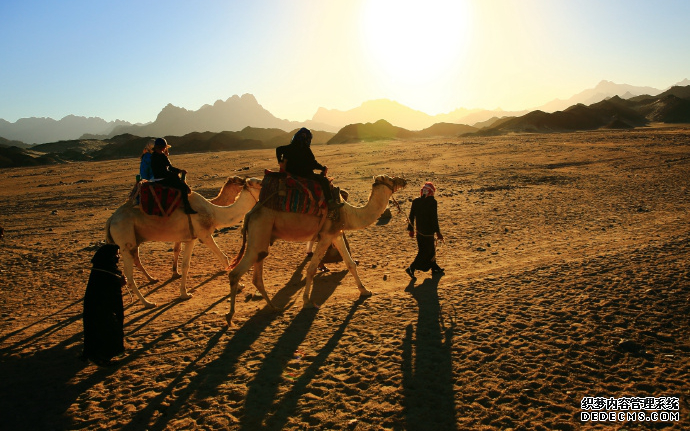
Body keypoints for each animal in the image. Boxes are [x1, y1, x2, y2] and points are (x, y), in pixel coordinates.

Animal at [105, 177, 260, 308]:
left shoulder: (190, 238)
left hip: (133, 240)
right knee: (129, 276)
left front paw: (184, 293)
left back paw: (152, 280)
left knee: (135, 261)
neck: (215, 212)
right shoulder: (204, 234)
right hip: (125, 241)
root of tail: (111, 220)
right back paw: (147, 303)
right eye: (258, 182)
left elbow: (185, 265)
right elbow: (223, 257)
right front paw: (239, 286)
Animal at [226, 174, 406, 326]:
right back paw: (230, 317)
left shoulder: (336, 234)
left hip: (262, 239)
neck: (348, 213)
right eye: (389, 179)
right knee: (235, 274)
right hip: (259, 231)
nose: (403, 180)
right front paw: (307, 302)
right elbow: (311, 269)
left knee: (257, 275)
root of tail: (249, 213)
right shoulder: (326, 236)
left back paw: (274, 307)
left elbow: (350, 264)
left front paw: (365, 291)